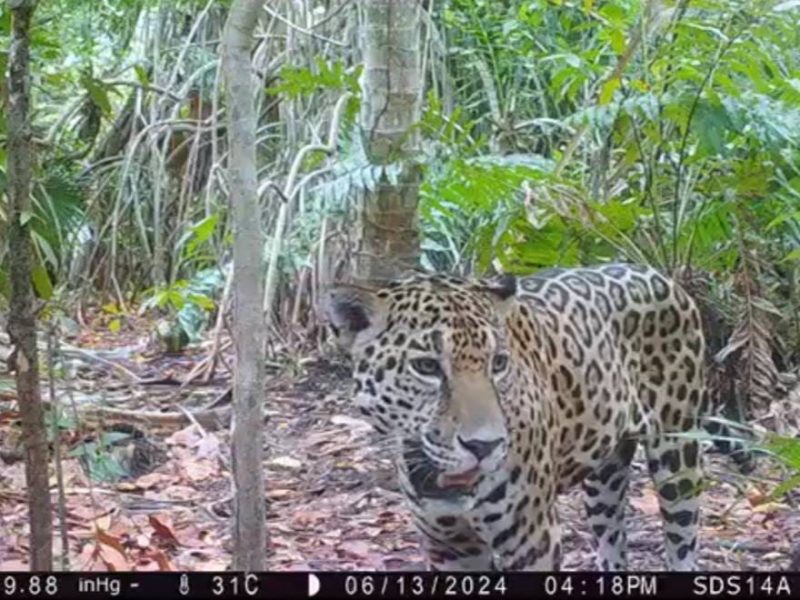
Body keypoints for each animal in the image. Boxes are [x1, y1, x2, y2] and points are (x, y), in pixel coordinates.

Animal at [323, 263, 731, 571]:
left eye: (499, 363)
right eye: (426, 367)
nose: (484, 446)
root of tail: (657, 273)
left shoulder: (532, 540)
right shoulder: (448, 546)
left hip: (677, 455)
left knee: (682, 544)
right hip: (604, 476)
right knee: (613, 544)